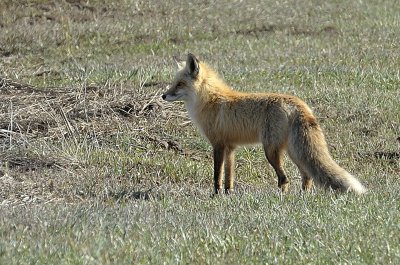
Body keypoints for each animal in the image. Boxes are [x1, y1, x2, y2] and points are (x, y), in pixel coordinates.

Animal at [161, 53, 368, 194]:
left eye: (179, 84)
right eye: (174, 82)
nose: (163, 95)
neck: (210, 101)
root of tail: (298, 103)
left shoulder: (218, 145)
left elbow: (216, 176)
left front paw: (215, 195)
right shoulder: (230, 147)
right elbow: (229, 177)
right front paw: (227, 195)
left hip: (270, 150)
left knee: (284, 179)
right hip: (293, 152)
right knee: (307, 175)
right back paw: (303, 197)